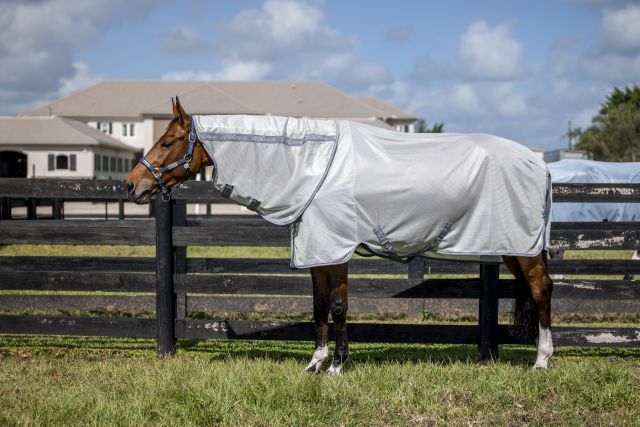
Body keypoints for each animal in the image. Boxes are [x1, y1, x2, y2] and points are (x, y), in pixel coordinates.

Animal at [127, 98, 554, 374]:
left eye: (167, 142)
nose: (132, 185)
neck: (310, 165)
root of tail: (539, 162)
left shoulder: (336, 249)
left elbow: (338, 307)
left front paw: (337, 365)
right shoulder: (318, 252)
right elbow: (318, 307)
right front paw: (315, 363)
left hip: (524, 249)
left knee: (542, 289)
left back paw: (542, 360)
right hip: (513, 247)